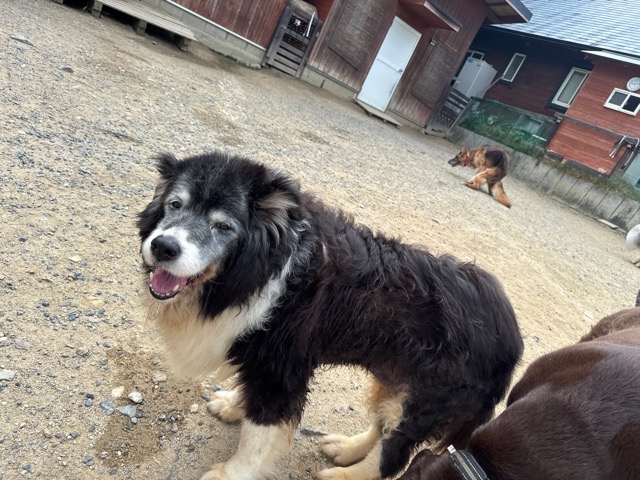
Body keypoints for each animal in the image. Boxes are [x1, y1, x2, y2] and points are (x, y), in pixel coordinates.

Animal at [137, 151, 523, 480]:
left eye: (223, 226)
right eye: (175, 204)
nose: (163, 246)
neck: (266, 266)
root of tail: (512, 339)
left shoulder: (282, 368)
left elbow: (260, 431)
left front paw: (232, 474)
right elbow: (249, 398)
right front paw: (234, 406)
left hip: (428, 400)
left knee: (392, 455)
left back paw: (345, 473)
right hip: (397, 379)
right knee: (383, 426)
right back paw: (346, 448)